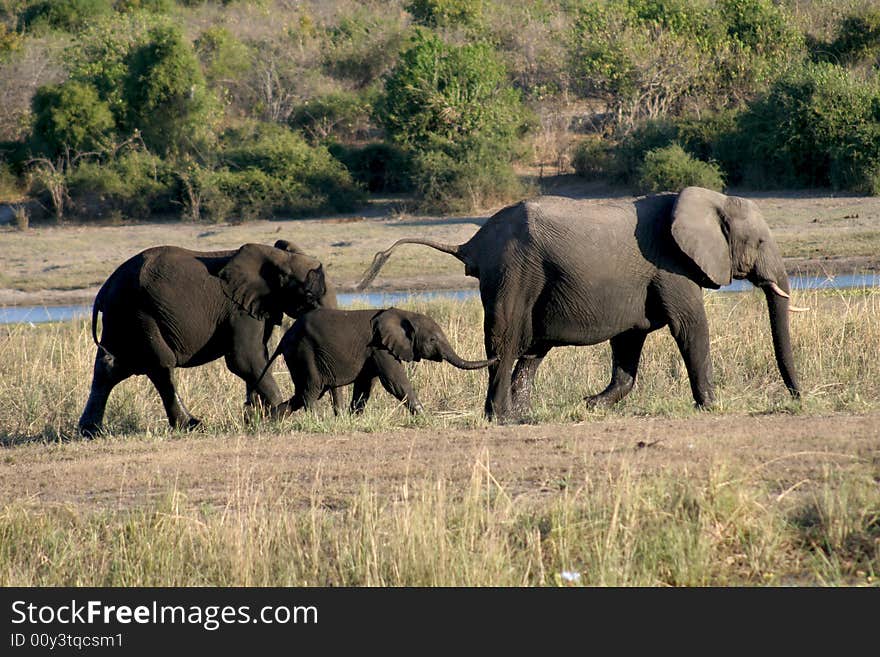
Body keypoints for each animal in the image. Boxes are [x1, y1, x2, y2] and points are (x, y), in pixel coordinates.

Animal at [78, 238, 336, 434]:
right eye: (309, 295)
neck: (278, 257)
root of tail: (105, 288)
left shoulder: (261, 306)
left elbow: (260, 358)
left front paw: (255, 417)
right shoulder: (238, 310)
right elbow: (244, 360)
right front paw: (274, 416)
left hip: (121, 318)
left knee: (110, 366)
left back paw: (91, 431)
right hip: (140, 313)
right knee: (161, 365)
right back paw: (191, 425)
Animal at [260, 304, 496, 412]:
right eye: (432, 340)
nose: (497, 356)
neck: (404, 313)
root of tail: (285, 337)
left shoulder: (373, 353)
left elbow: (366, 386)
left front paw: (353, 418)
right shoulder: (380, 347)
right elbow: (395, 382)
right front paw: (424, 416)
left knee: (302, 394)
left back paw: (271, 419)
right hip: (304, 351)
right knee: (311, 390)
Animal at [356, 186, 804, 420]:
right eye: (759, 242)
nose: (798, 398)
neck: (710, 199)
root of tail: (474, 242)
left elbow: (630, 341)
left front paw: (590, 405)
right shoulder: (672, 267)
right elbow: (690, 326)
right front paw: (711, 406)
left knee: (531, 351)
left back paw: (522, 417)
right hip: (514, 271)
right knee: (506, 341)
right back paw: (499, 418)